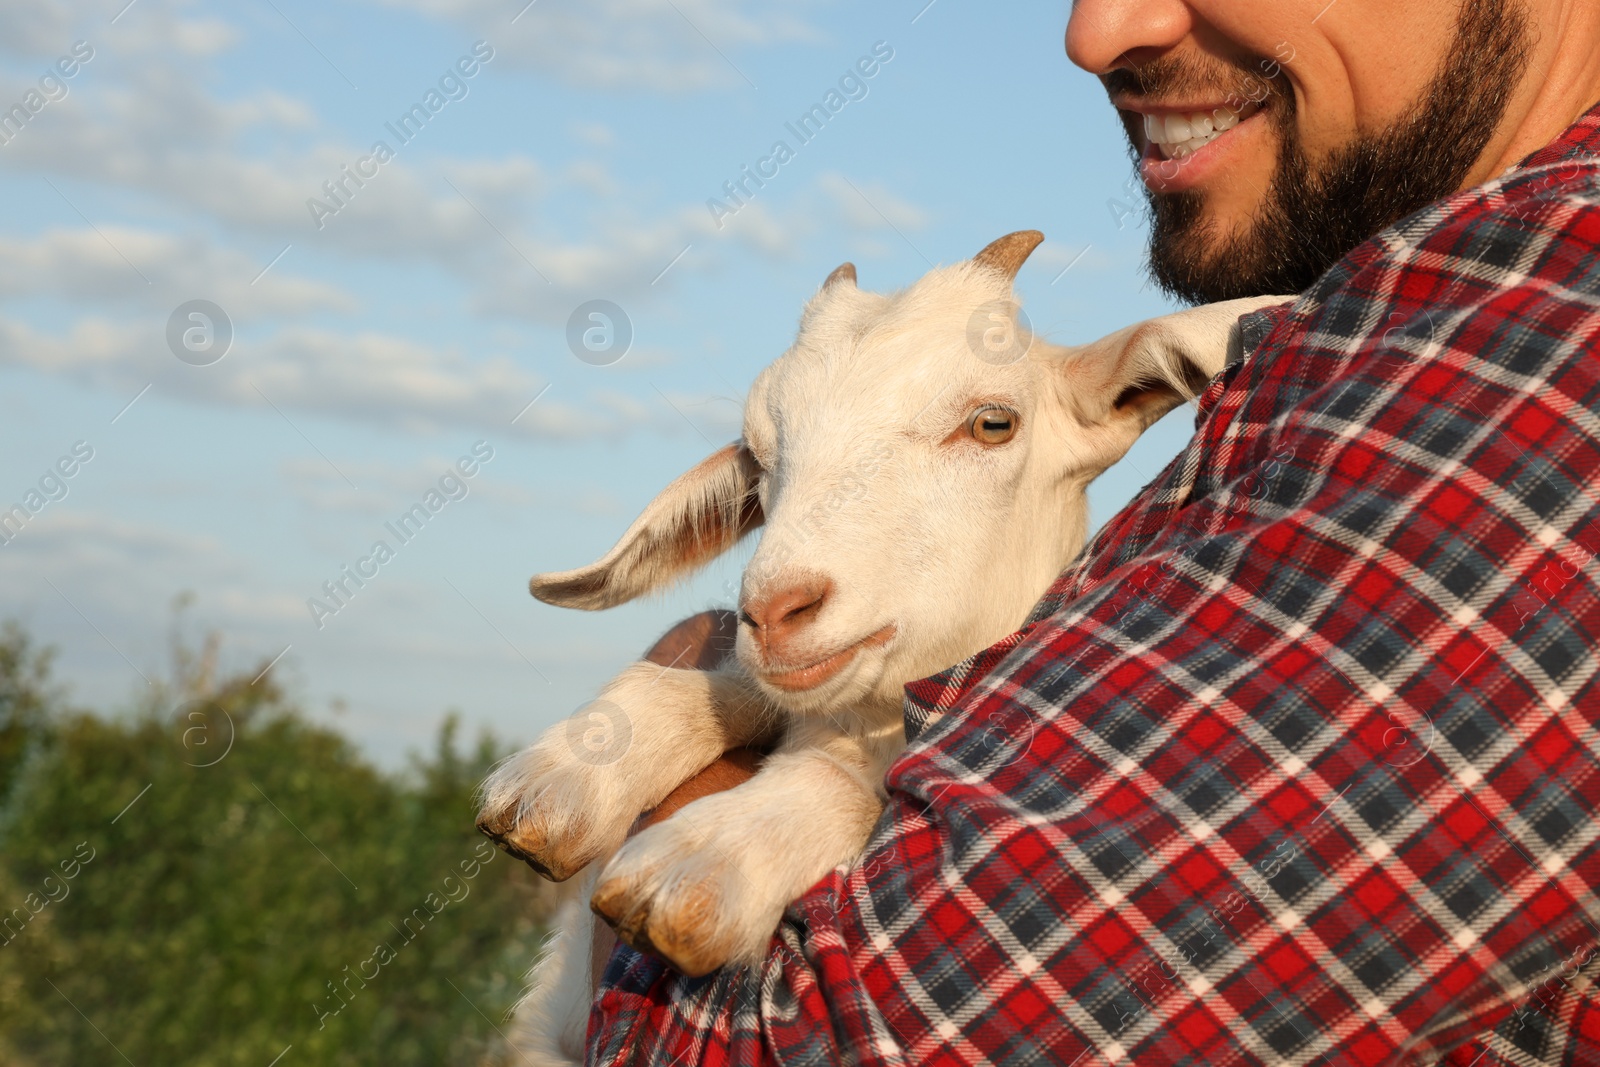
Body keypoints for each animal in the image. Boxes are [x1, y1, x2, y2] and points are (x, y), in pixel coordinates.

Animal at [473, 230, 1286, 1062]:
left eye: (994, 423)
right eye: (759, 461)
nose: (775, 608)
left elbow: (847, 791)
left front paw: (707, 862)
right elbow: (740, 685)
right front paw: (573, 773)